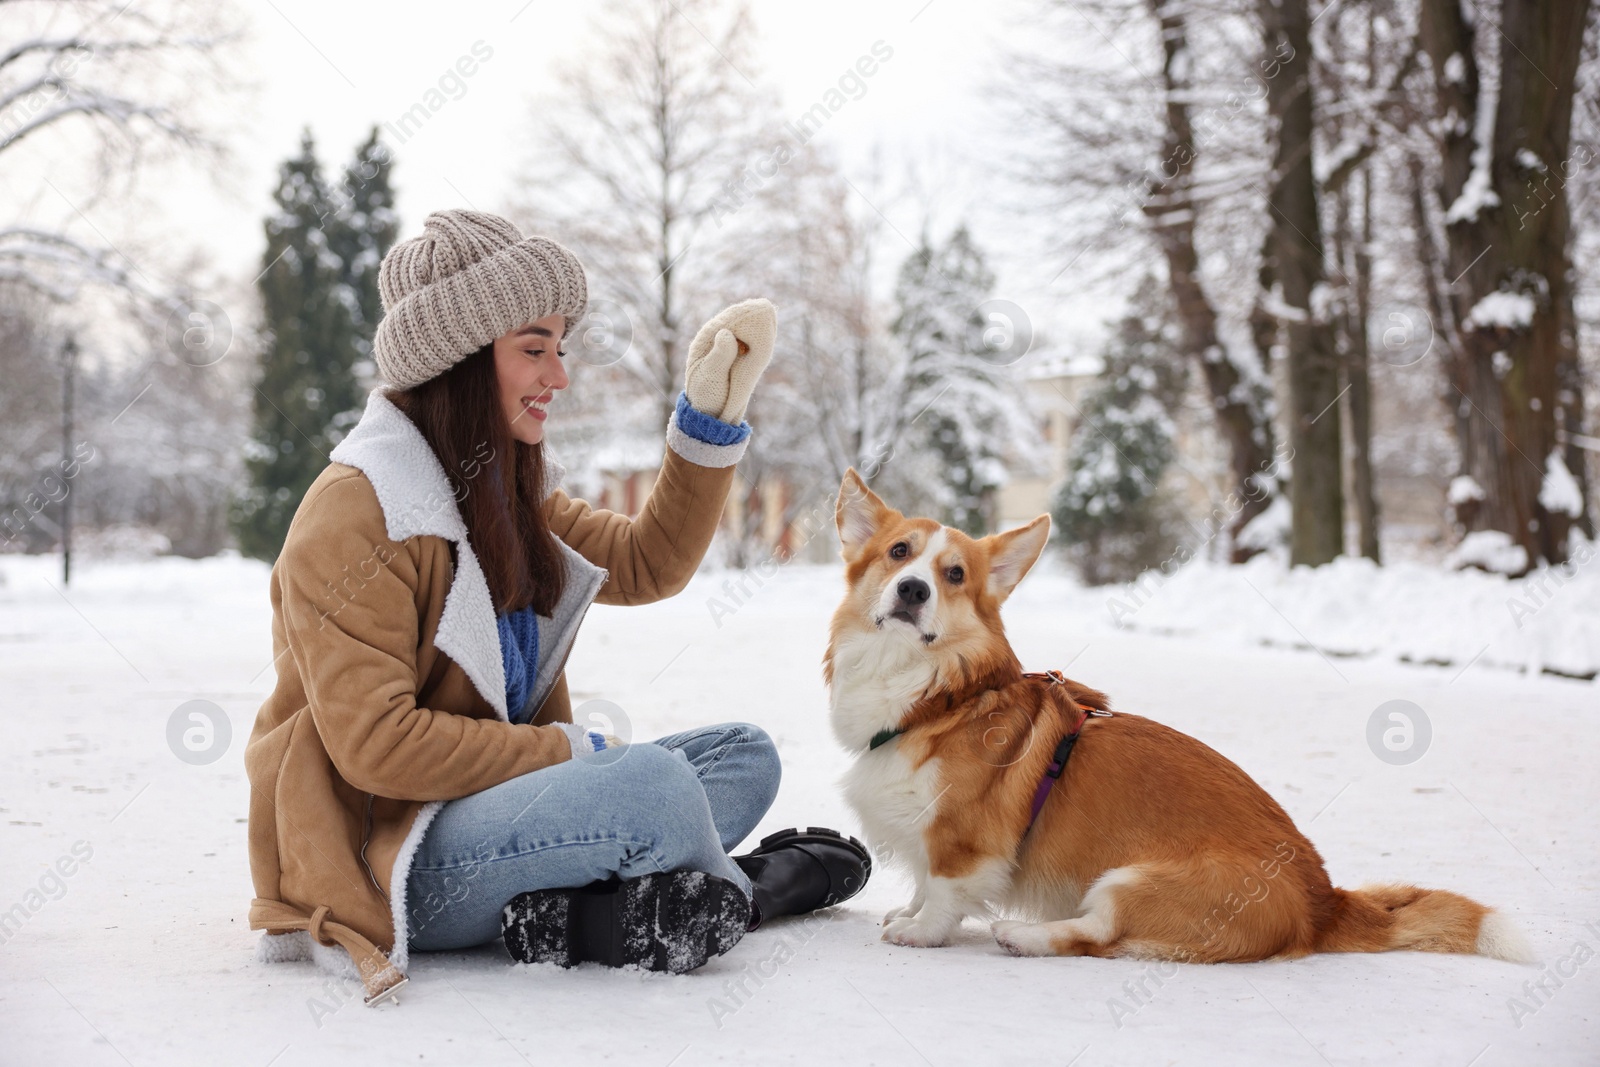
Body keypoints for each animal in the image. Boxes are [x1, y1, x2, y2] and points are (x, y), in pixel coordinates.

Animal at [819, 470, 1529, 966]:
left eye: (954, 574)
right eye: (898, 552)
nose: (913, 589)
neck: (937, 693)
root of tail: (1322, 901)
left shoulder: (960, 841)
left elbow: (943, 892)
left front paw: (919, 931)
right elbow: (922, 882)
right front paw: (905, 913)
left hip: (1129, 879)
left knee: (1101, 935)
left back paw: (1026, 936)